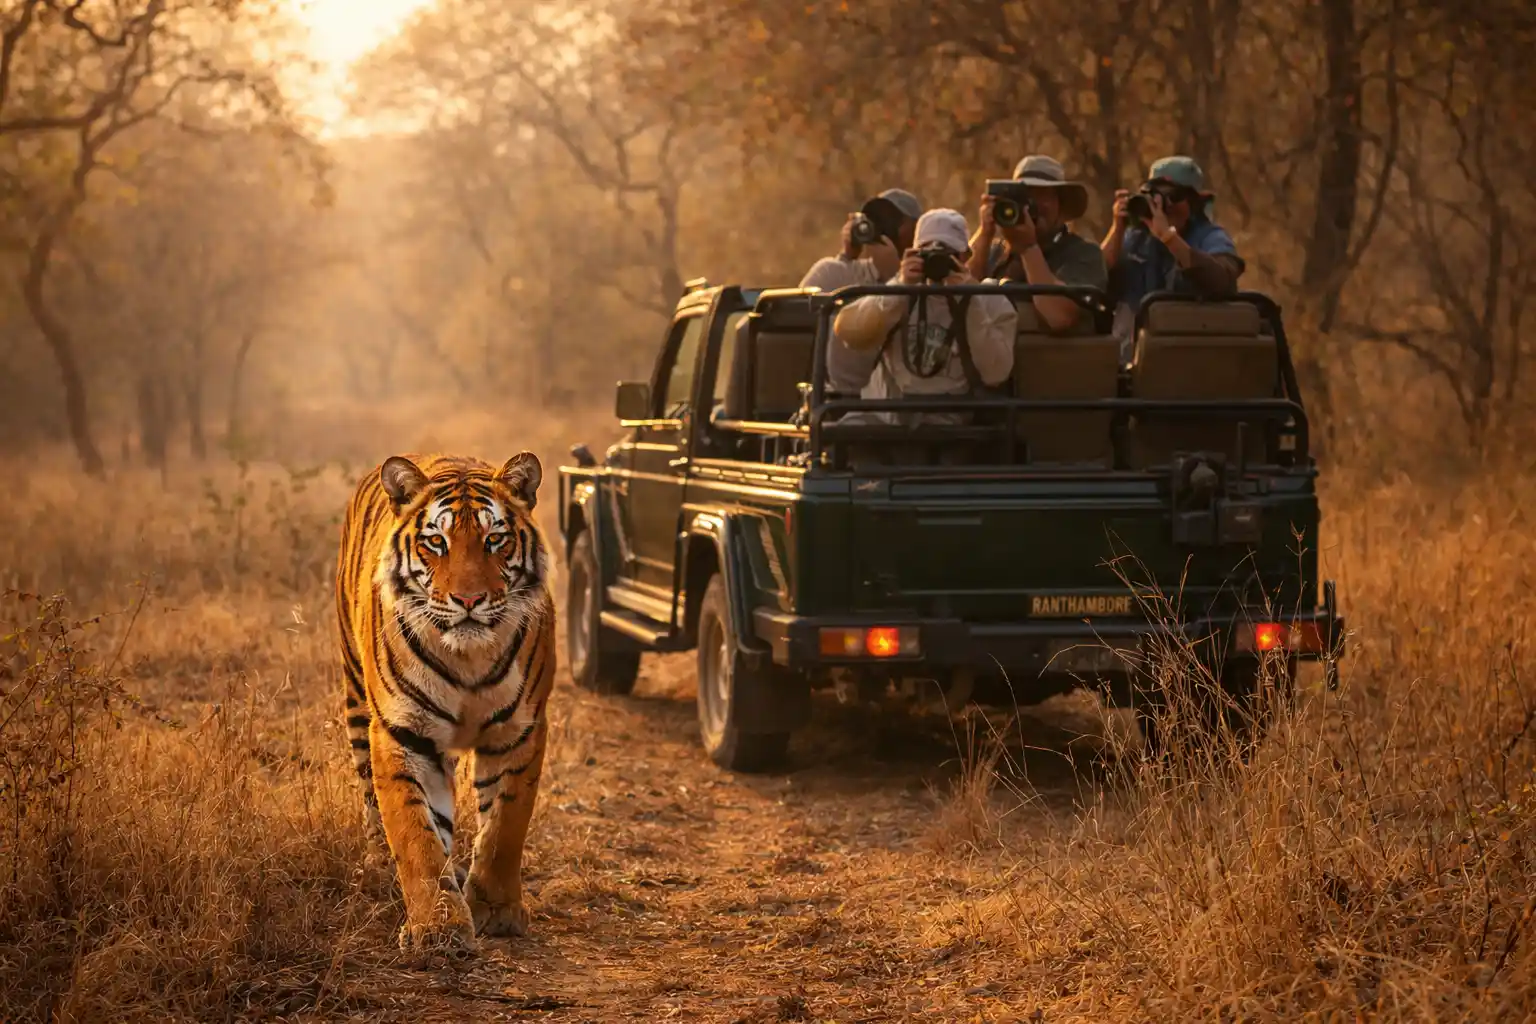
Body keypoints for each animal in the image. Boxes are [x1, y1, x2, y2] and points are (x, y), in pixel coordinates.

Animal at [334, 450, 555, 950]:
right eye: (436, 541)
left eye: (495, 540)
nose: (469, 600)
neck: (468, 658)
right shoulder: (402, 732)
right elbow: (416, 836)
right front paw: (437, 928)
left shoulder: (521, 731)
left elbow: (505, 827)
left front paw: (495, 910)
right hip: (356, 698)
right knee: (371, 799)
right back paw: (378, 863)